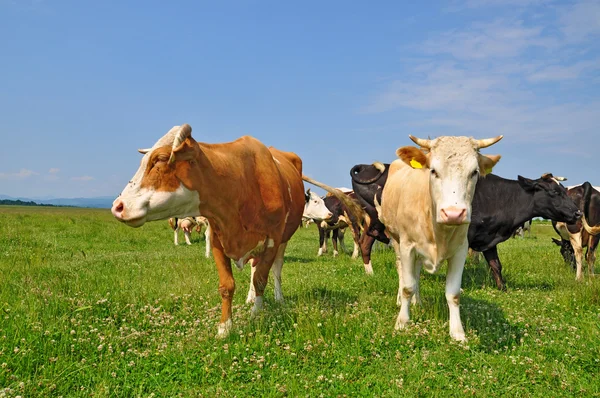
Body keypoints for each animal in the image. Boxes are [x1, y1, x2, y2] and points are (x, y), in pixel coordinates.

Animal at [112, 123, 304, 338]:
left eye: (160, 159)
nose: (118, 206)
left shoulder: (272, 240)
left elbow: (262, 279)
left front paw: (256, 314)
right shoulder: (217, 239)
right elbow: (227, 285)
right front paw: (225, 327)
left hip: (283, 240)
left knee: (276, 270)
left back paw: (278, 298)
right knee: (254, 267)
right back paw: (250, 297)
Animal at [352, 163, 580, 290]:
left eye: (564, 190)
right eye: (554, 193)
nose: (578, 212)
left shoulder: (489, 237)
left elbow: (496, 265)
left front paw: (502, 288)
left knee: (365, 243)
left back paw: (370, 273)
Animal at [380, 135, 502, 340]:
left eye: (474, 172)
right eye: (433, 171)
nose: (453, 213)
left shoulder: (460, 250)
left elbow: (453, 294)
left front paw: (458, 333)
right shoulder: (407, 246)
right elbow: (407, 286)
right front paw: (402, 323)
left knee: (416, 273)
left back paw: (418, 301)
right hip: (395, 239)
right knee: (402, 271)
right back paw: (400, 300)